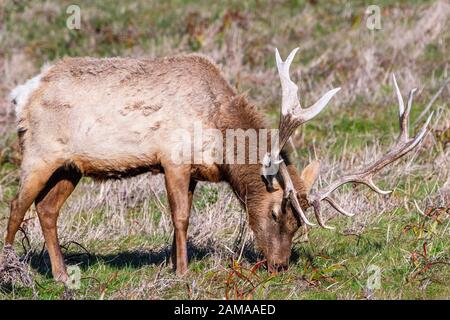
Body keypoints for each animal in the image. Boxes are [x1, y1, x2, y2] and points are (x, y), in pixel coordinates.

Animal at [2, 47, 432, 282]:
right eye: (276, 213)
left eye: (300, 224)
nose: (279, 265)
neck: (219, 133)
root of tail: (23, 92)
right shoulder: (172, 158)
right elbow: (180, 218)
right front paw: (181, 272)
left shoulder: (193, 172)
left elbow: (184, 217)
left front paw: (176, 264)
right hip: (39, 152)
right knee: (17, 205)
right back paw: (12, 270)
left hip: (70, 166)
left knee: (46, 209)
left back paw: (61, 275)